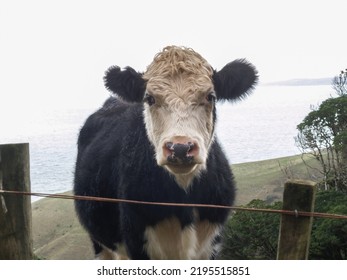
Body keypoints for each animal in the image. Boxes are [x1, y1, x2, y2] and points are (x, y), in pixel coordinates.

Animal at [74, 46, 258, 260]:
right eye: (150, 98)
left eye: (210, 96)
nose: (180, 148)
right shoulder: (136, 243)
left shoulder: (211, 244)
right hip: (99, 241)